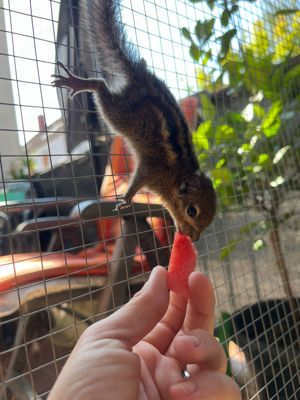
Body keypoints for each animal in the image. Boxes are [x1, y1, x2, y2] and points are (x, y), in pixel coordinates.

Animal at [51, 0, 216, 241]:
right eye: (191, 211)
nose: (193, 238)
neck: (176, 177)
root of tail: (139, 76)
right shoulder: (150, 170)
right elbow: (136, 181)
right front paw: (127, 198)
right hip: (120, 114)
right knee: (100, 86)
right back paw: (80, 83)